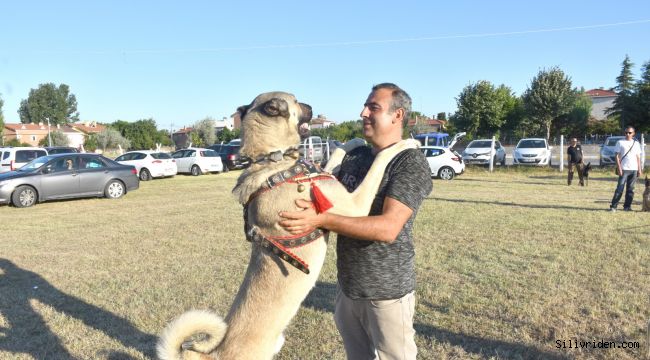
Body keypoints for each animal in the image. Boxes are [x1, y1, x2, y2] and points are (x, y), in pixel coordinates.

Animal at [159, 91, 418, 358]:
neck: (273, 160)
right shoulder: (355, 206)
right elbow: (380, 160)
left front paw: (353, 141)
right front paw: (404, 144)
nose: (312, 106)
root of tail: (209, 354)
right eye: (294, 100)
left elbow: (335, 155)